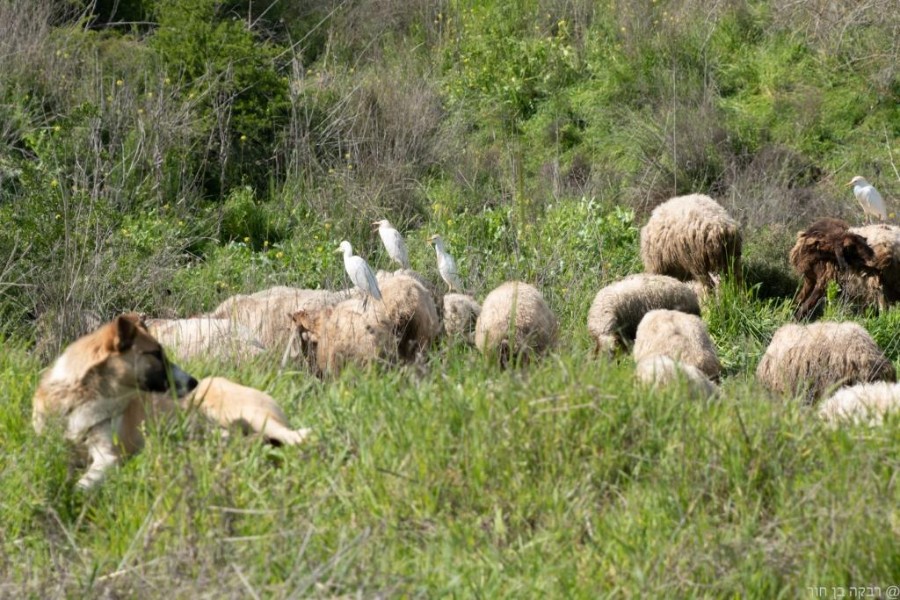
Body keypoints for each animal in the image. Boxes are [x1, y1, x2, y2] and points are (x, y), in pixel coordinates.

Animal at [31, 314, 312, 488]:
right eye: (156, 353)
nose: (193, 383)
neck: (80, 397)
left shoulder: (107, 456)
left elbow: (81, 485)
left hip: (253, 416)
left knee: (296, 436)